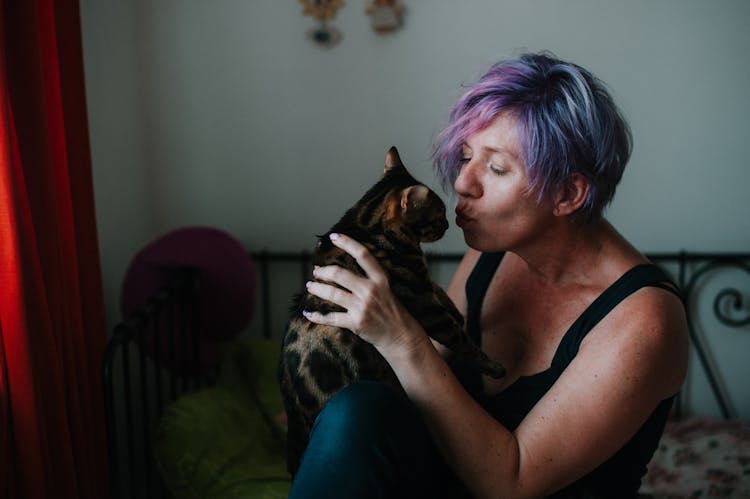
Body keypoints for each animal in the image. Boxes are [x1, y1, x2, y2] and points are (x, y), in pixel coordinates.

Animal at [276, 146, 506, 476]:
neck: (364, 224)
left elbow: (439, 289)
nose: (449, 225)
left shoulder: (422, 284)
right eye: (439, 215)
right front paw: (492, 365)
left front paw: (458, 310)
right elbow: (461, 339)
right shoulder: (424, 304)